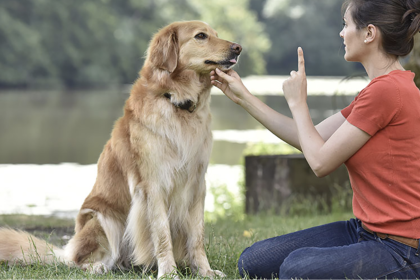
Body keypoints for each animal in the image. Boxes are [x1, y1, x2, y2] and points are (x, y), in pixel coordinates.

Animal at [0, 20, 241, 278]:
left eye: (216, 34)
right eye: (201, 36)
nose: (238, 48)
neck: (176, 101)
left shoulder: (197, 184)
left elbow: (197, 236)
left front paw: (205, 271)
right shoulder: (153, 185)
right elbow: (162, 234)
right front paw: (168, 272)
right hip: (102, 219)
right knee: (79, 261)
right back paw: (97, 266)